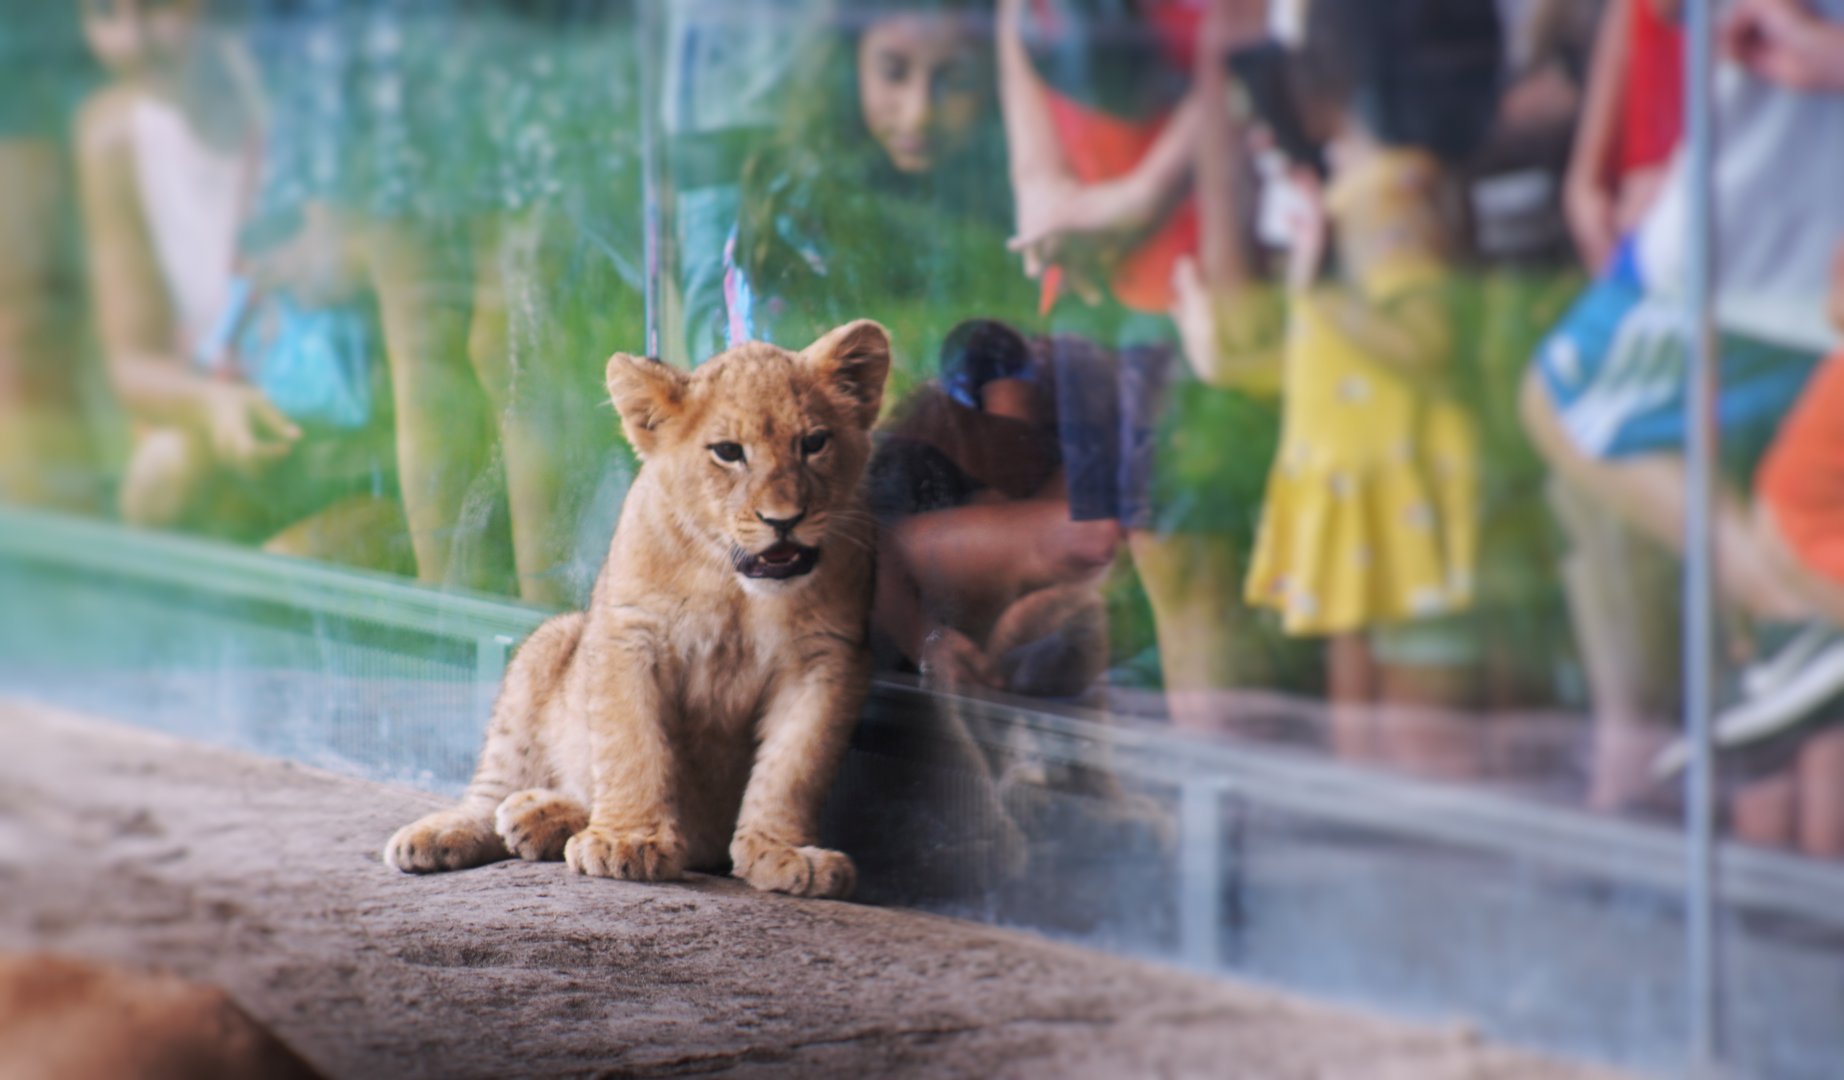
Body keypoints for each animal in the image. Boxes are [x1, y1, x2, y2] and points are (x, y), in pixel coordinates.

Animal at [384, 320, 891, 899]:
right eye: (727, 451)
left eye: (814, 443)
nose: (783, 519)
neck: (735, 587)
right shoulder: (629, 635)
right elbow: (631, 744)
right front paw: (626, 842)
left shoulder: (826, 659)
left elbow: (794, 766)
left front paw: (783, 852)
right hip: (549, 643)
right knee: (495, 788)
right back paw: (454, 831)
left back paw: (542, 818)